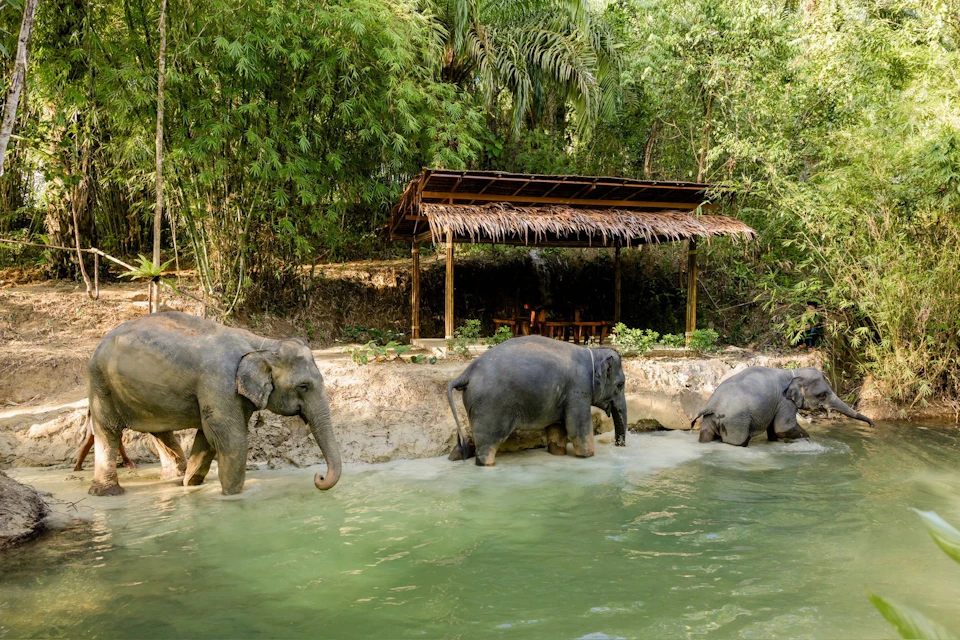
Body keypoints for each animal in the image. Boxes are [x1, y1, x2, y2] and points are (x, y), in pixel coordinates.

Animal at [86, 311, 341, 496]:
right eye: (303, 386)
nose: (318, 477)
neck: (261, 343)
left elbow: (208, 438)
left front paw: (190, 485)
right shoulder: (220, 382)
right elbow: (231, 440)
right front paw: (232, 497)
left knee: (159, 431)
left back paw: (175, 479)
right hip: (101, 383)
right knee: (108, 431)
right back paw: (108, 493)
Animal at [446, 335, 628, 466]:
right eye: (620, 385)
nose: (618, 445)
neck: (593, 353)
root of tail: (466, 373)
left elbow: (557, 429)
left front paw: (557, 454)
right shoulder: (578, 389)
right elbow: (576, 430)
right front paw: (588, 457)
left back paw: (454, 456)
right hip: (490, 406)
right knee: (488, 445)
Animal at [691, 366, 873, 446]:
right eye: (822, 395)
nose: (872, 424)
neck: (792, 372)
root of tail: (711, 405)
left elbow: (774, 429)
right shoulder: (785, 402)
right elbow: (782, 427)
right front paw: (807, 439)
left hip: (712, 420)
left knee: (706, 436)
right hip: (735, 421)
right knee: (738, 442)